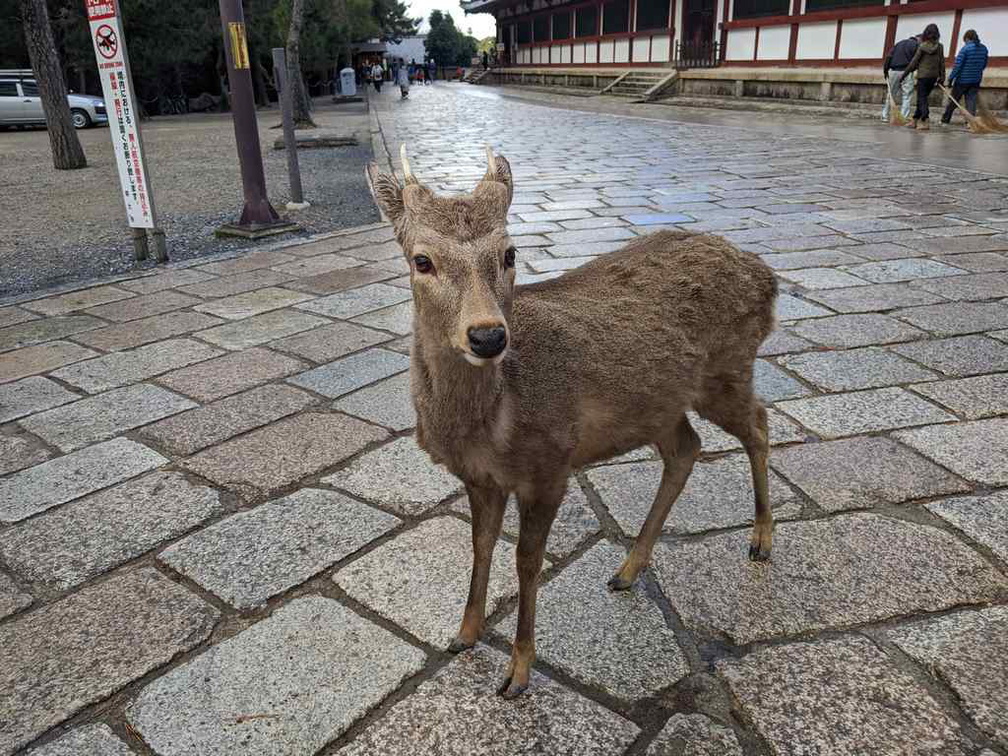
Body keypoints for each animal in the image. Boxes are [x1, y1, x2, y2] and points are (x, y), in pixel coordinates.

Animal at [368, 145, 778, 701]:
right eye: (422, 260)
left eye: (510, 254)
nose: (488, 336)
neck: (491, 426)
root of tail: (767, 277)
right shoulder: (479, 478)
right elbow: (479, 545)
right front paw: (463, 635)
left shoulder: (549, 465)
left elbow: (526, 561)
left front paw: (517, 672)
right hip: (661, 403)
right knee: (687, 447)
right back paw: (628, 569)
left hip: (728, 369)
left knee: (758, 424)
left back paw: (761, 540)